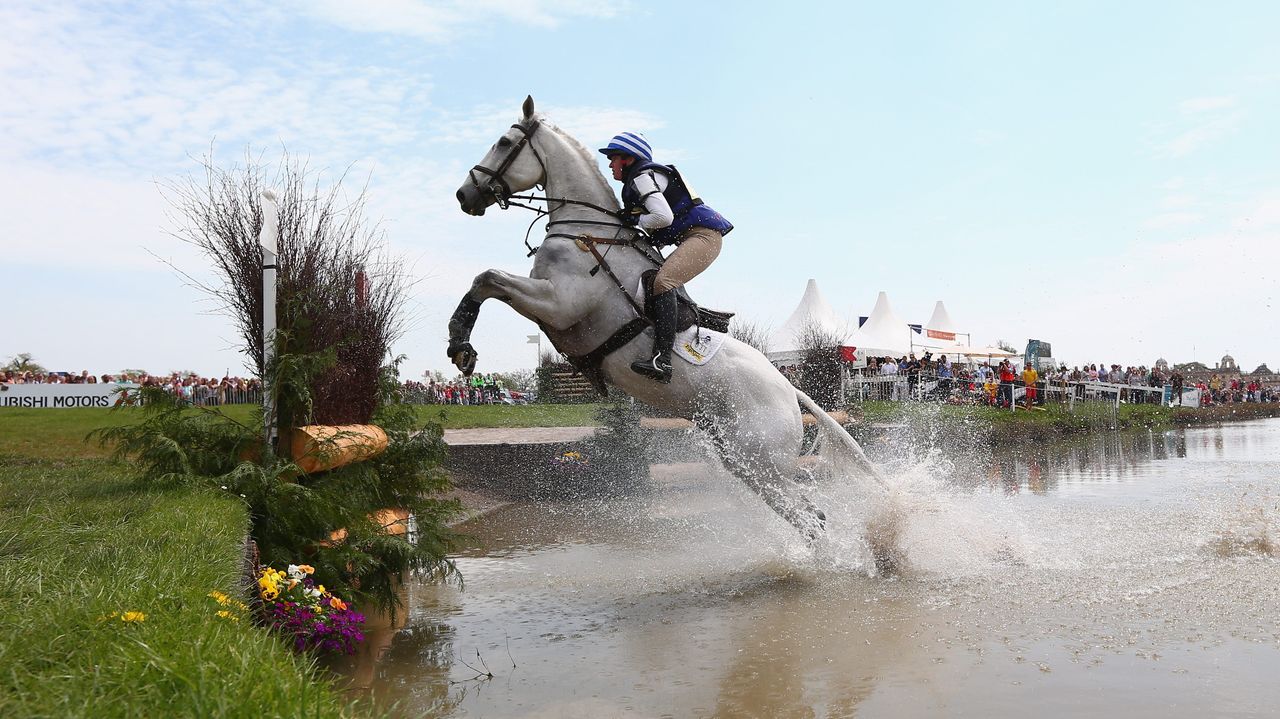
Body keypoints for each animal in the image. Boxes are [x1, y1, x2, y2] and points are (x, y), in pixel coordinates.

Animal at [450, 95, 880, 537]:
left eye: (503, 142)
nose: (464, 194)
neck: (583, 230)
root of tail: (788, 388)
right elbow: (484, 280)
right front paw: (460, 346)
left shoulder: (559, 304)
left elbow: (488, 279)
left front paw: (460, 344)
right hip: (745, 463)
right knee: (809, 516)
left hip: (763, 461)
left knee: (809, 516)